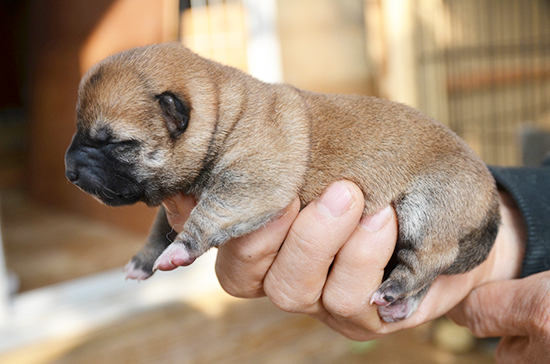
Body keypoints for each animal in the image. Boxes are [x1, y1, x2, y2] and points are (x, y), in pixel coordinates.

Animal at [66, 42, 504, 322]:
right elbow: (160, 227)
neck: (223, 115)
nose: (69, 170)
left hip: (428, 208)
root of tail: (491, 199)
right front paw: (143, 261)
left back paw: (394, 291)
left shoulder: (249, 186)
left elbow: (204, 217)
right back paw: (402, 304)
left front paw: (179, 250)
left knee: (433, 259)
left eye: (116, 143)